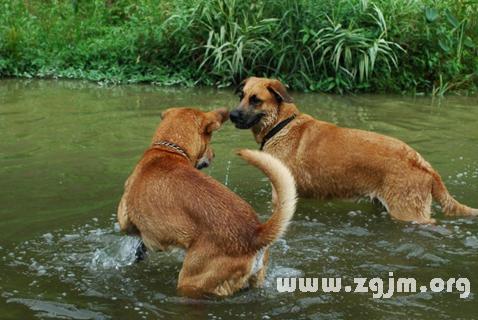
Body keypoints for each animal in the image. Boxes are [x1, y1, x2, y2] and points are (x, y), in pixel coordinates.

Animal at [230, 76, 476, 224]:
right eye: (241, 96)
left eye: (256, 100)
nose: (232, 115)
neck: (281, 125)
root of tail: (423, 164)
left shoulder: (278, 193)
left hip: (406, 212)